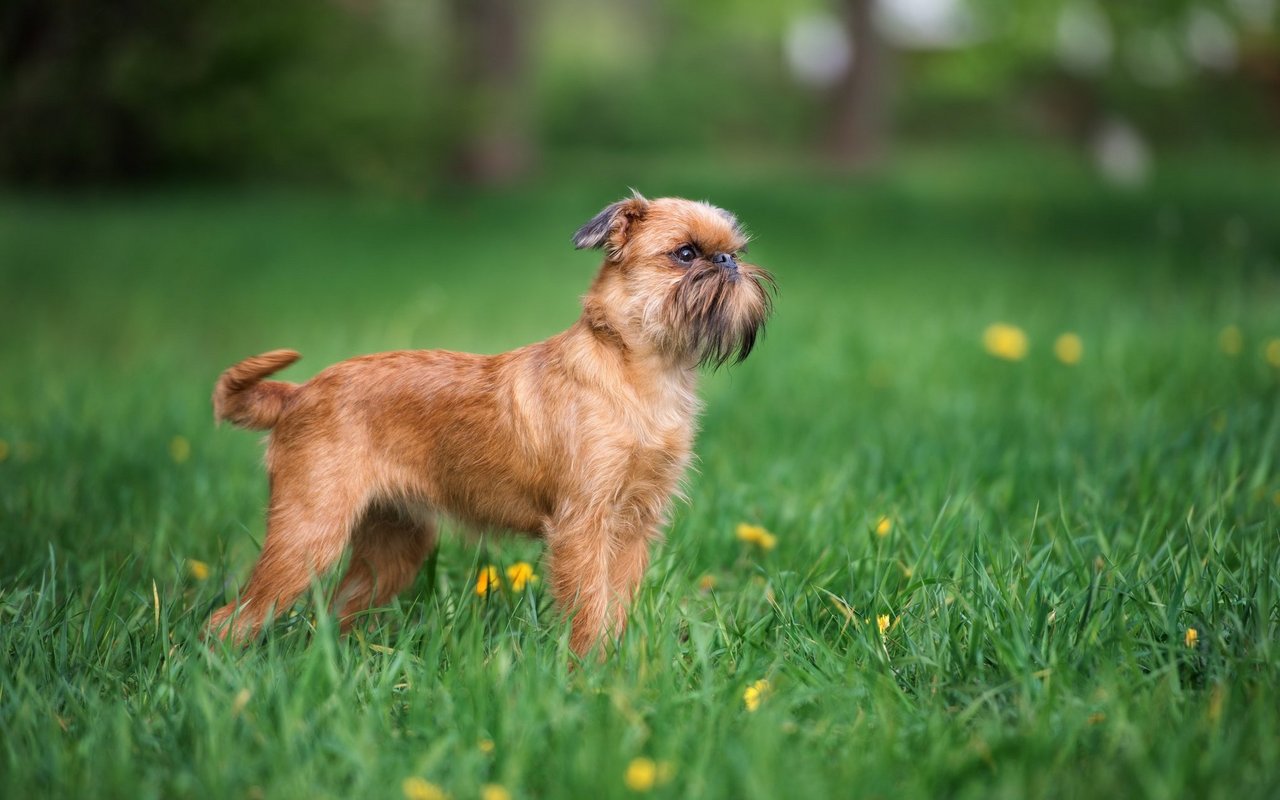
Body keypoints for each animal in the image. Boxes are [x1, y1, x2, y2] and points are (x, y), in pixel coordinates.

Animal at [204, 193, 773, 655]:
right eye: (686, 254)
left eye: (736, 250)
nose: (727, 261)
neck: (638, 370)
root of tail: (299, 394)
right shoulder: (583, 525)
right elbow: (590, 606)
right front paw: (587, 676)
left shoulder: (634, 526)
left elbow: (615, 605)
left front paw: (616, 671)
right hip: (309, 532)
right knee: (230, 619)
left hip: (395, 544)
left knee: (339, 609)